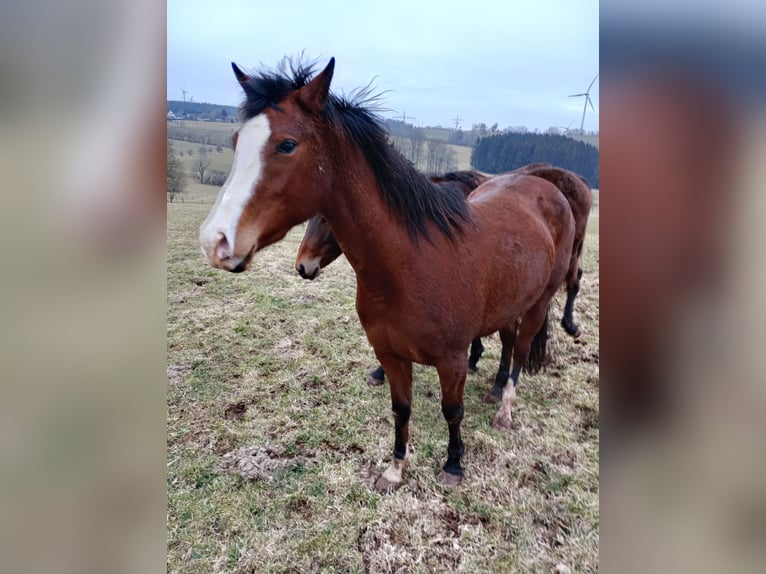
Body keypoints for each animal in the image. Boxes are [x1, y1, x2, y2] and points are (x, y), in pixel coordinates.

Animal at [200, 57, 576, 490]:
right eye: (236, 141)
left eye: (287, 144)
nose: (215, 240)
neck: (409, 266)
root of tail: (547, 188)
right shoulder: (390, 355)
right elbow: (401, 409)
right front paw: (395, 468)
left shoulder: (451, 359)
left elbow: (452, 410)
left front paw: (453, 465)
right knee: (510, 341)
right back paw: (496, 390)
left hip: (539, 301)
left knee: (522, 349)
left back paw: (505, 409)